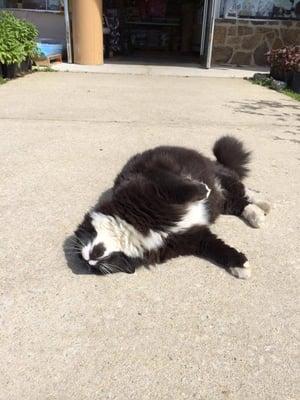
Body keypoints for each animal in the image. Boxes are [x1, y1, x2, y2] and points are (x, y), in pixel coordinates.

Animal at [74, 137, 270, 278]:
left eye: (83, 237)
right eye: (95, 269)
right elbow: (216, 248)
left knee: (242, 189)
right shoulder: (192, 238)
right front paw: (239, 265)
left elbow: (180, 189)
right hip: (221, 204)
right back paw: (257, 215)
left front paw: (202, 190)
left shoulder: (153, 184)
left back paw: (262, 203)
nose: (87, 260)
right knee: (238, 203)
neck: (132, 229)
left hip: (220, 178)